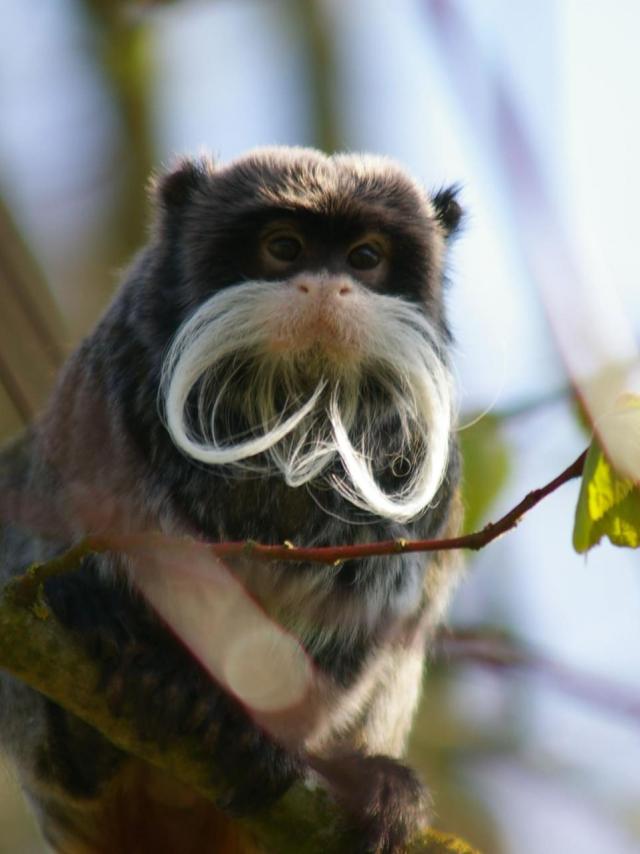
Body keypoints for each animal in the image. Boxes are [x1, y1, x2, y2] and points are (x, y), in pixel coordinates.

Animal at [0, 149, 462, 854]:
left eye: (365, 257)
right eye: (284, 247)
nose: (327, 286)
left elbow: (367, 616)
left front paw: (259, 734)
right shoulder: (111, 380)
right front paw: (145, 656)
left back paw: (373, 782)